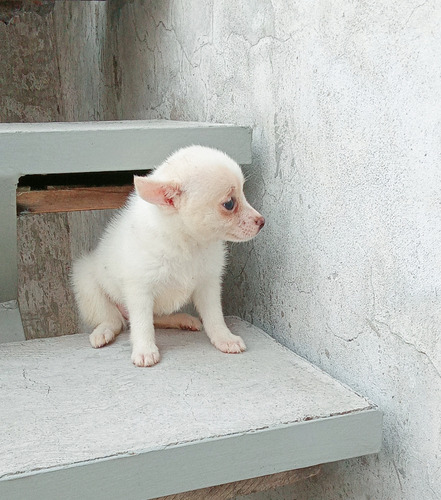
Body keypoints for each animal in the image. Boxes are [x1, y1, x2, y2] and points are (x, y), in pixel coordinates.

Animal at [72, 145, 264, 368]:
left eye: (243, 193)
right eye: (230, 204)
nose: (262, 222)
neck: (189, 242)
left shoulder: (208, 284)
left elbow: (215, 316)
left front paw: (224, 338)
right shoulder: (140, 290)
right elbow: (142, 324)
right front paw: (144, 350)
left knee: (154, 318)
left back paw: (182, 319)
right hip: (87, 283)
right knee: (116, 320)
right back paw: (103, 332)